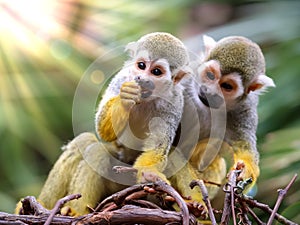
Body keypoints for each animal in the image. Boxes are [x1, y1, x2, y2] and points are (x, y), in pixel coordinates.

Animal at [170, 35, 276, 204]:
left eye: (227, 86)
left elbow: (246, 148)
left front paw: (245, 170)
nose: (208, 92)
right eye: (210, 76)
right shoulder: (185, 81)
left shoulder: (245, 107)